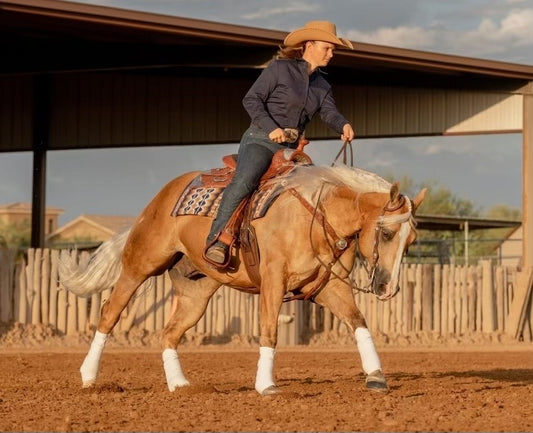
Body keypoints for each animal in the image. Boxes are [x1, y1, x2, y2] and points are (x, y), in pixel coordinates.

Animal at [58, 162, 424, 394]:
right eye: (388, 233)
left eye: (412, 240)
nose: (388, 288)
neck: (315, 214)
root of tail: (161, 197)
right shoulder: (274, 281)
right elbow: (269, 331)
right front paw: (266, 385)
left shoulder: (328, 287)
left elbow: (358, 322)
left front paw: (376, 377)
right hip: (139, 264)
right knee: (109, 313)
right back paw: (89, 377)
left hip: (196, 293)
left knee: (170, 333)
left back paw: (179, 385)